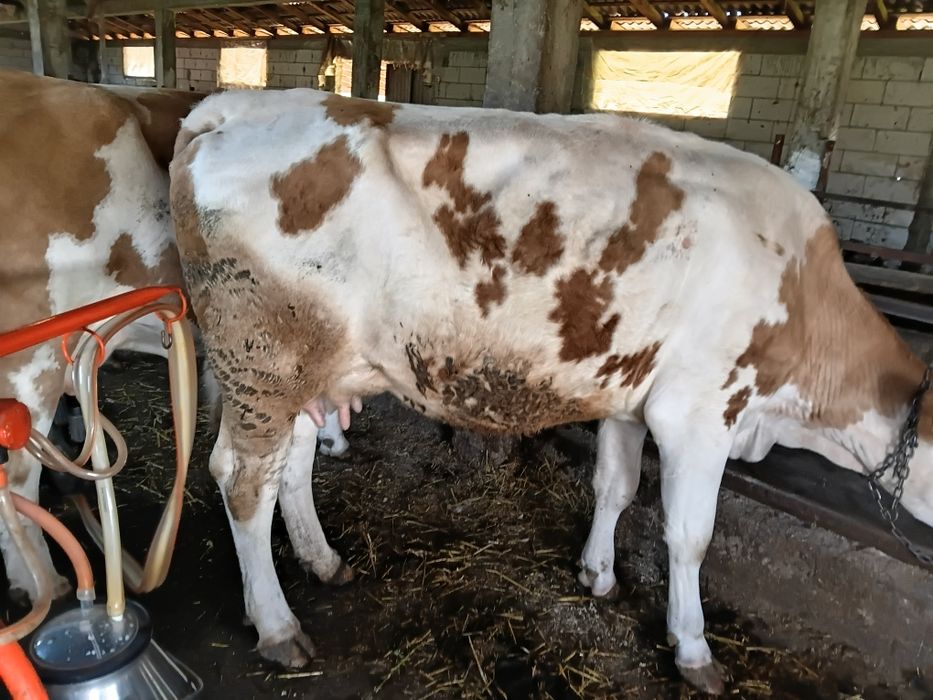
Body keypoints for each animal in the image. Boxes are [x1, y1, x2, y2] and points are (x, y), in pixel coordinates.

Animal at [170, 87, 933, 694]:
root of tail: (235, 105)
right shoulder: (698, 411)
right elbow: (689, 536)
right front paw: (692, 649)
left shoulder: (630, 397)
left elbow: (614, 487)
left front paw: (597, 574)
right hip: (263, 361)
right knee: (243, 480)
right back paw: (277, 626)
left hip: (306, 370)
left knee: (292, 467)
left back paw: (323, 562)